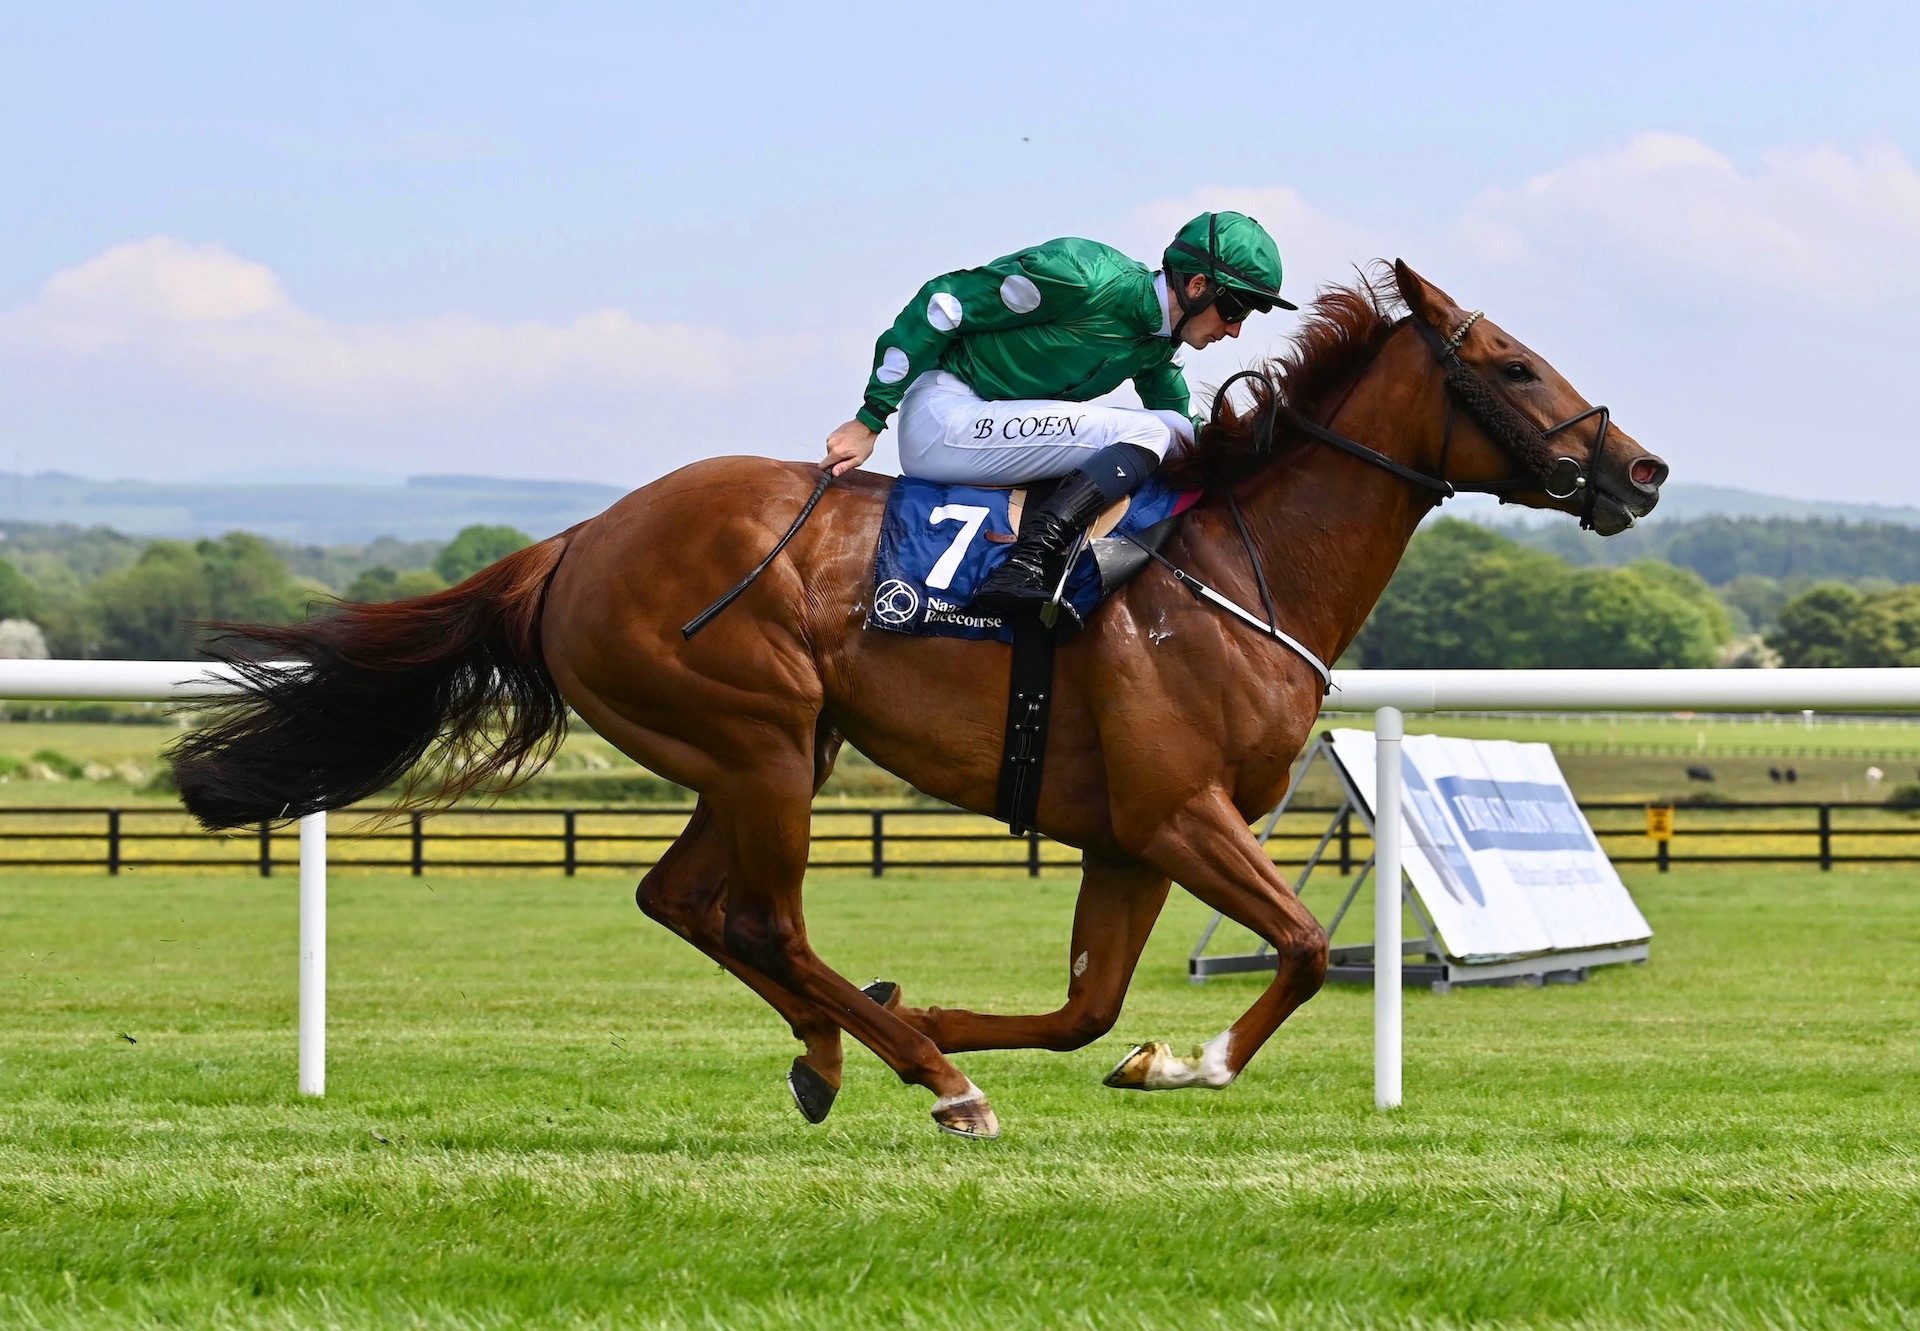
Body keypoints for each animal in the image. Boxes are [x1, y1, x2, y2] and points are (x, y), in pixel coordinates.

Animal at [168, 265, 1666, 1137]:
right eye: (1516, 366)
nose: (1643, 469)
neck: (1237, 566)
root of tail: (576, 543)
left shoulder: (1128, 835)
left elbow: (1088, 1010)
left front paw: (990, 1027)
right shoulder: (1178, 812)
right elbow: (1296, 948)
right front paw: (1173, 1063)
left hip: (764, 747)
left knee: (686, 901)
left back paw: (846, 1049)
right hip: (762, 734)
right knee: (762, 917)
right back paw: (928, 1076)